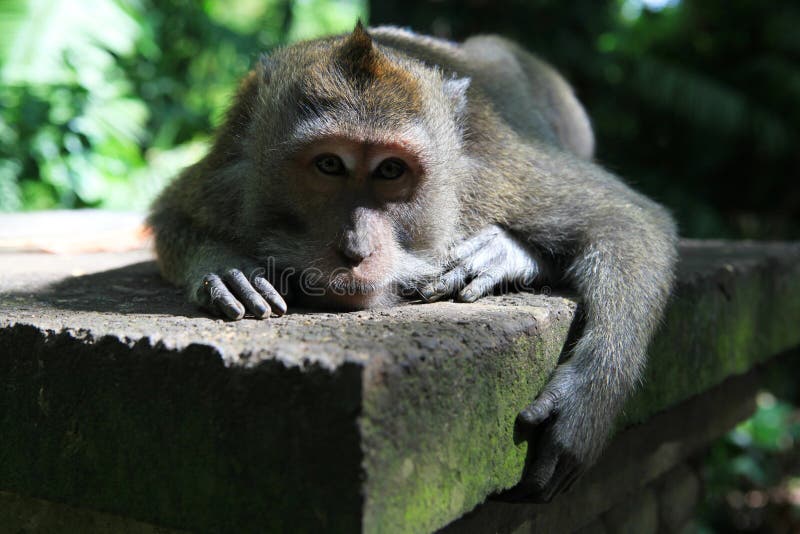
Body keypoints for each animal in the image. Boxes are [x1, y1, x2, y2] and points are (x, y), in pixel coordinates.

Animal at [147, 24, 680, 502]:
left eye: (390, 170)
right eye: (329, 165)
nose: (356, 249)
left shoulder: (492, 177)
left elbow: (627, 220)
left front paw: (582, 406)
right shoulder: (230, 183)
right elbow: (172, 213)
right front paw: (230, 271)